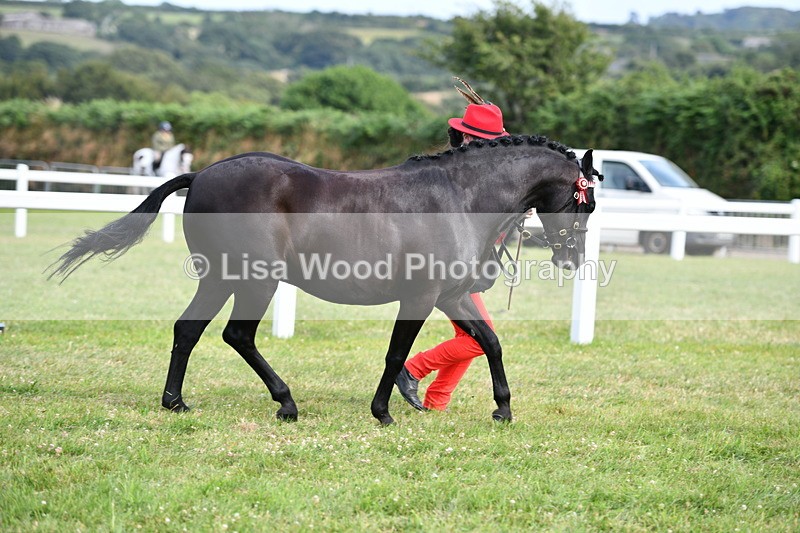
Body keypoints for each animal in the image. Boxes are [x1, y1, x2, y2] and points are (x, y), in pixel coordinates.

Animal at [50, 135, 599, 425]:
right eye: (586, 201)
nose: (572, 259)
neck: (457, 198)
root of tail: (201, 175)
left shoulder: (451, 296)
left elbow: (489, 341)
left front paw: (502, 410)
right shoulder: (420, 297)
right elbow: (397, 353)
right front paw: (383, 411)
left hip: (220, 279)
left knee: (189, 330)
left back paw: (176, 403)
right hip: (255, 280)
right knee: (237, 335)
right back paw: (286, 402)